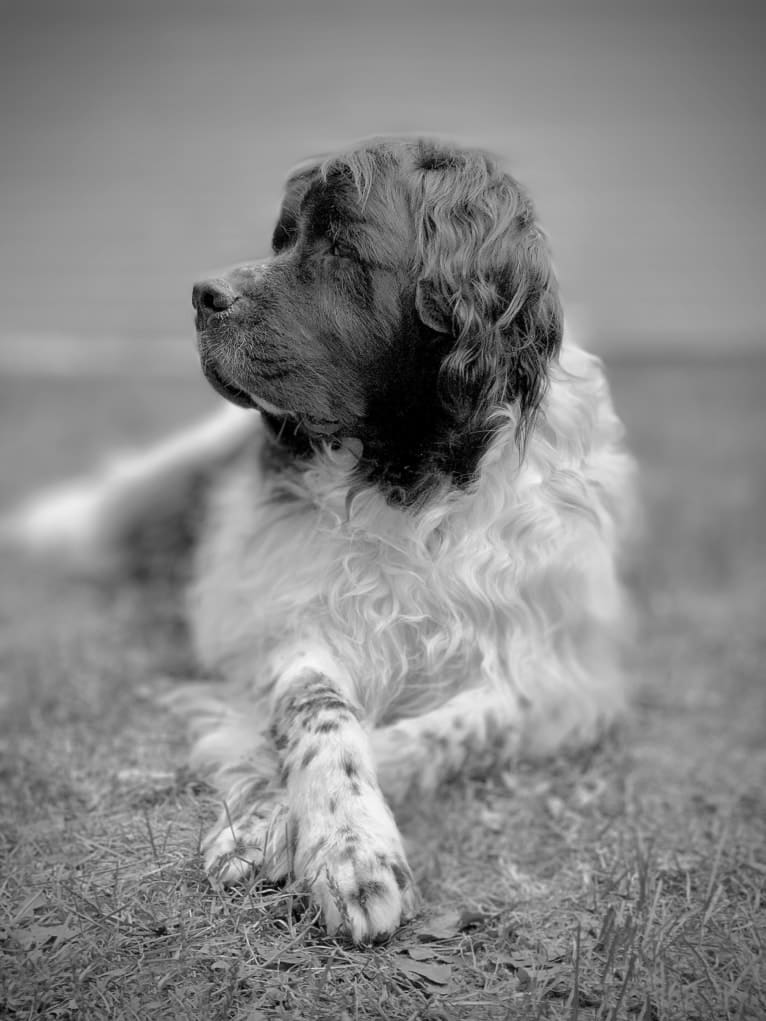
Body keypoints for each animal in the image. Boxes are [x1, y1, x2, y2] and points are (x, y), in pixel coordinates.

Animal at [7, 135, 637, 939]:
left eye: (339, 247)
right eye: (282, 240)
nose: (202, 293)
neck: (411, 477)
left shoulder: (562, 669)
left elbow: (465, 724)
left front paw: (283, 825)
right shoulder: (287, 616)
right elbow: (323, 710)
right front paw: (343, 842)